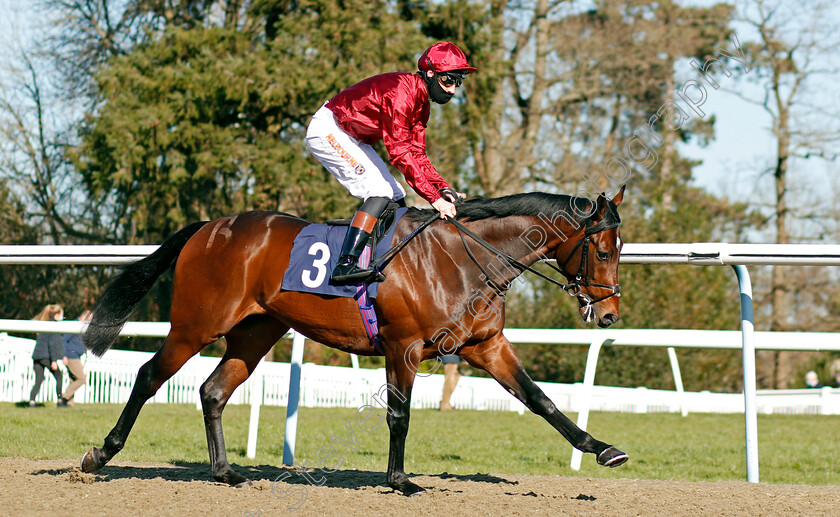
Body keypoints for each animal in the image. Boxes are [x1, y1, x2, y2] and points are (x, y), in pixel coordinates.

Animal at [82, 186, 628, 496]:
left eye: (620, 250)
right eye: (603, 251)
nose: (608, 314)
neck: (461, 258)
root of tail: (209, 227)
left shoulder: (487, 345)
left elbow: (540, 400)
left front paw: (602, 449)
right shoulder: (403, 346)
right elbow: (399, 415)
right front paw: (400, 481)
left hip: (256, 331)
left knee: (213, 391)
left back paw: (226, 473)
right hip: (195, 325)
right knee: (148, 376)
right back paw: (99, 455)